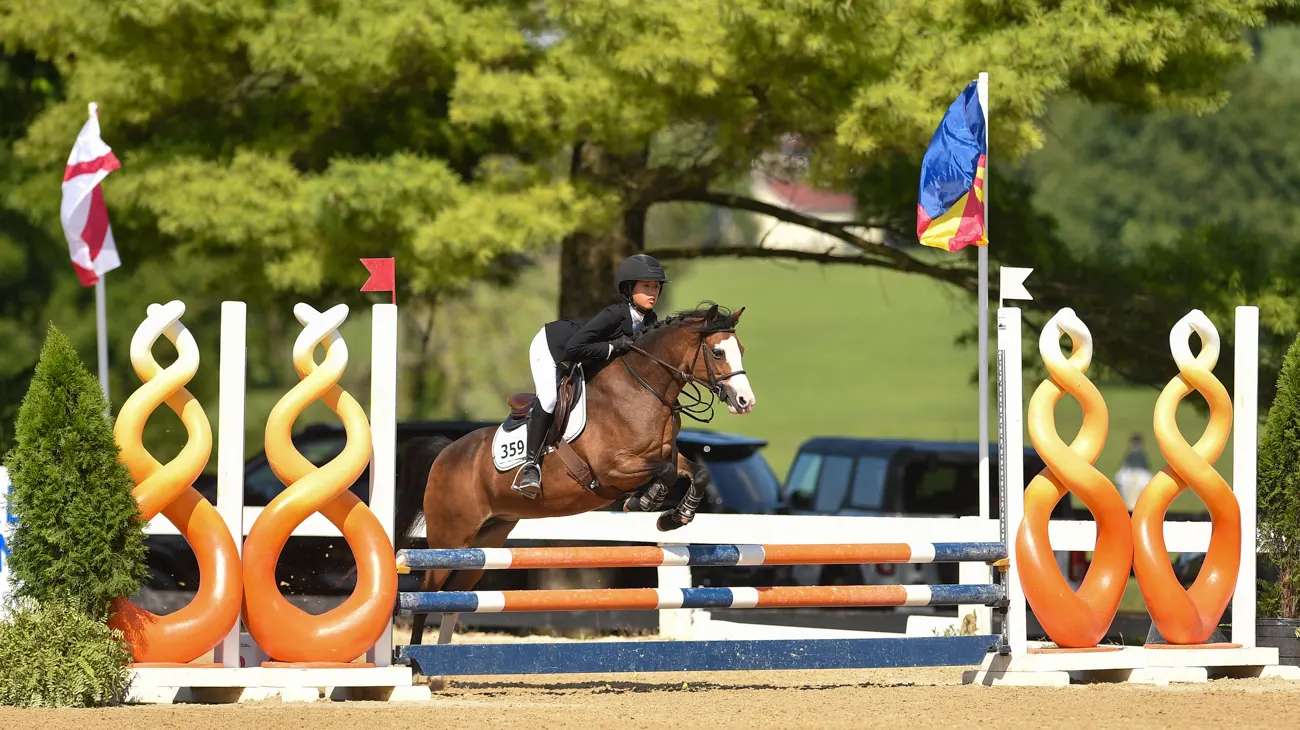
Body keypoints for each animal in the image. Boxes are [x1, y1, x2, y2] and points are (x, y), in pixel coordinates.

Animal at [392, 302, 756, 645]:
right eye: (718, 352)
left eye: (741, 348)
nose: (745, 401)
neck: (644, 390)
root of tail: (446, 453)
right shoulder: (614, 468)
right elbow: (663, 473)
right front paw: (645, 502)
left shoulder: (666, 455)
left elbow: (697, 473)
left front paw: (674, 518)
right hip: (450, 536)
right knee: (426, 593)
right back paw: (415, 658)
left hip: (486, 539)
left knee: (455, 596)